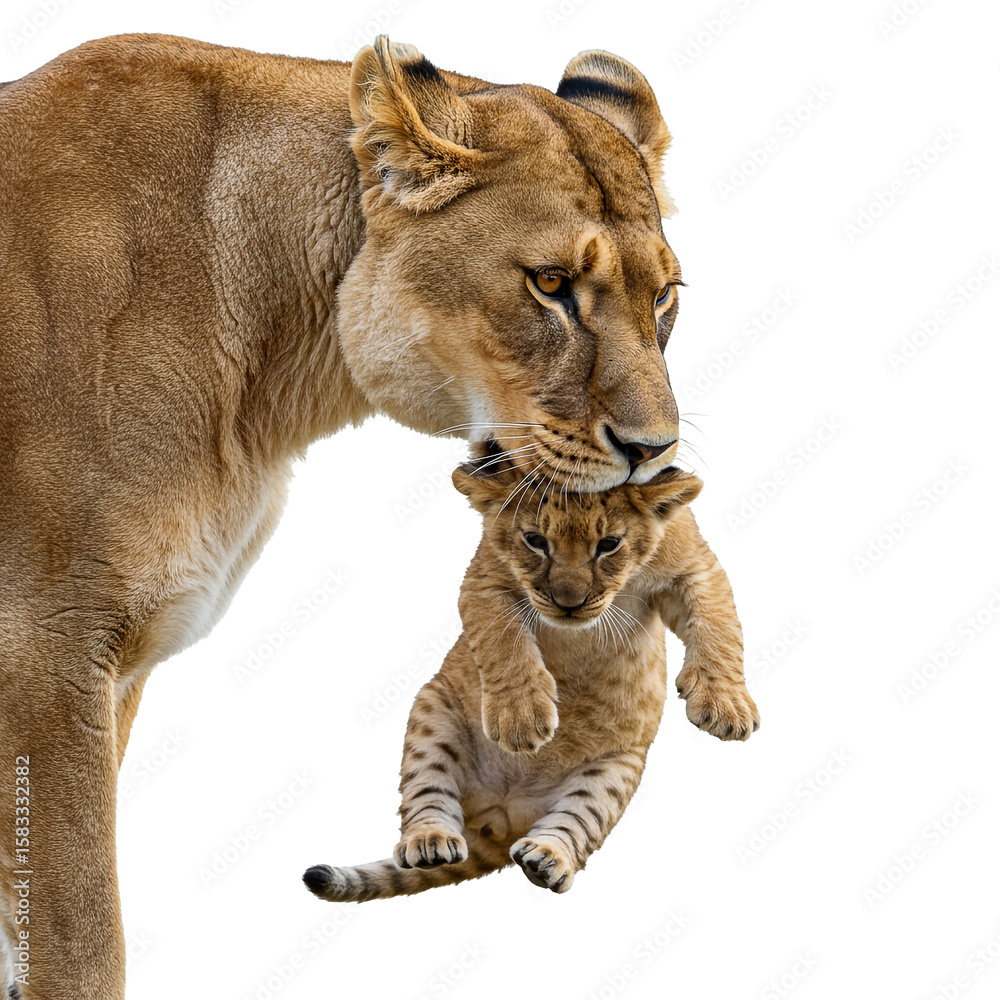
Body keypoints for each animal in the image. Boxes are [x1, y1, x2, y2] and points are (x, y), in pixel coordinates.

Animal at [0, 33, 684, 998]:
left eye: (664, 297)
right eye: (550, 284)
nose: (654, 448)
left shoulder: (114, 664)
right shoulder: (48, 645)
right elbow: (78, 938)